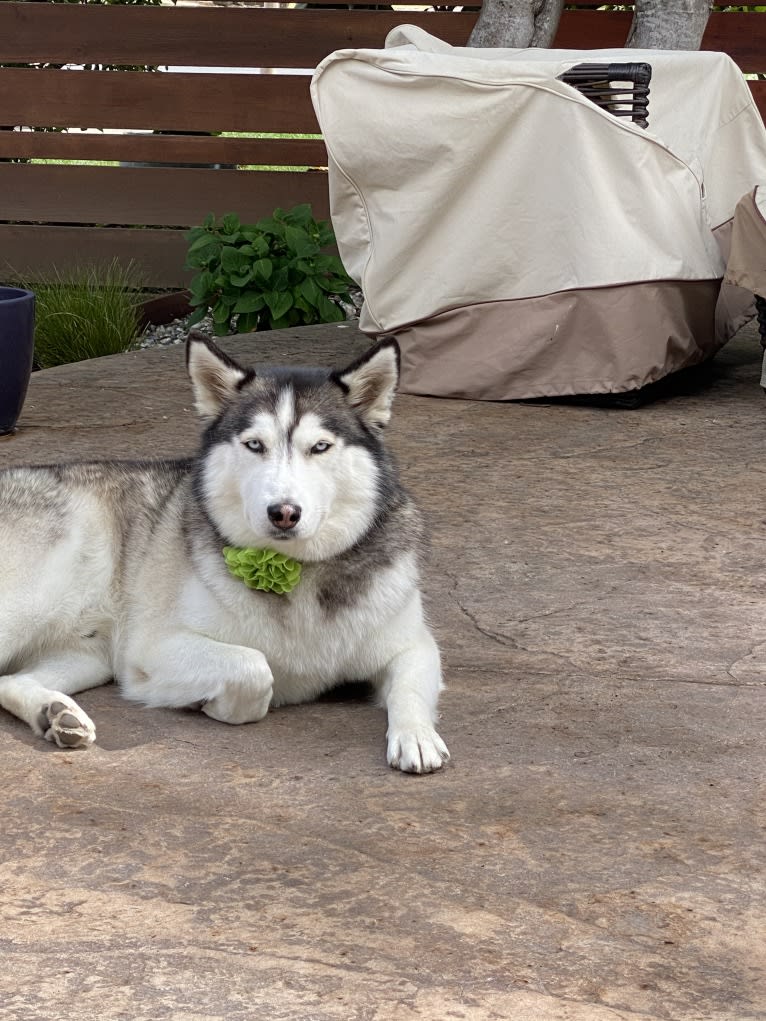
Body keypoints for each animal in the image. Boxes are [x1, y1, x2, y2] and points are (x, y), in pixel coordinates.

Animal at [0, 330, 449, 767]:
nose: (283, 513)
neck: (295, 572)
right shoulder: (151, 647)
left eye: (320, 447)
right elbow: (255, 668)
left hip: (86, 655)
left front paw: (416, 735)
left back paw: (54, 714)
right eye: (254, 445)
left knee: (10, 680)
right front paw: (213, 705)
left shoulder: (412, 643)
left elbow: (409, 684)